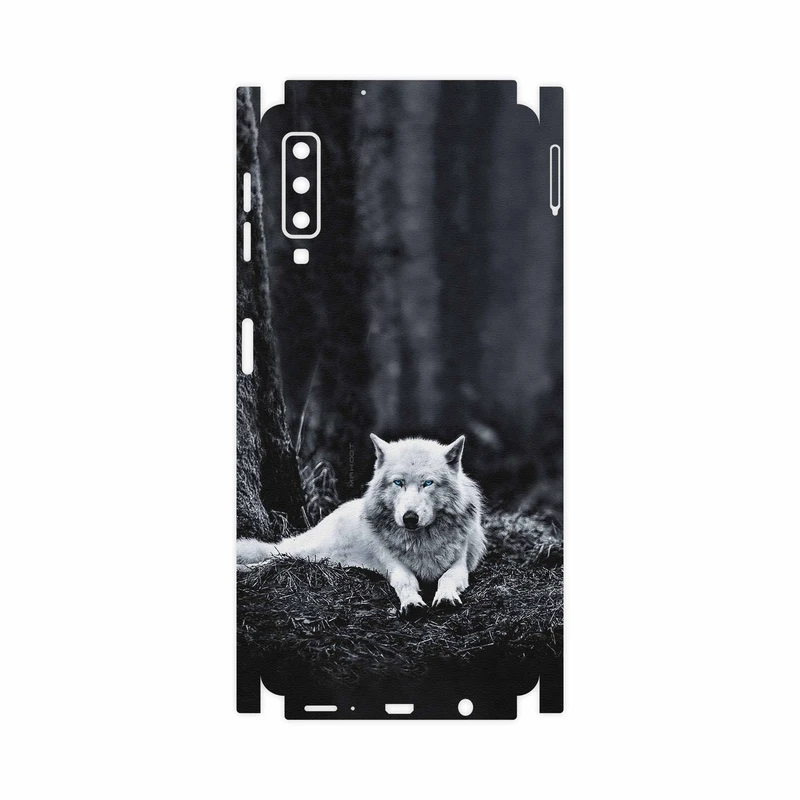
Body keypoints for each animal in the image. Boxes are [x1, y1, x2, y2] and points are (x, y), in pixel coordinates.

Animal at [237, 434, 486, 618]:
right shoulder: (393, 565)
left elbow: (447, 578)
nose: (409, 517)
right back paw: (243, 568)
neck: (420, 542)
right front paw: (412, 603)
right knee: (274, 557)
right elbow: (405, 582)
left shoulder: (460, 565)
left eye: (428, 483)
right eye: (398, 482)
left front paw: (445, 597)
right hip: (308, 552)